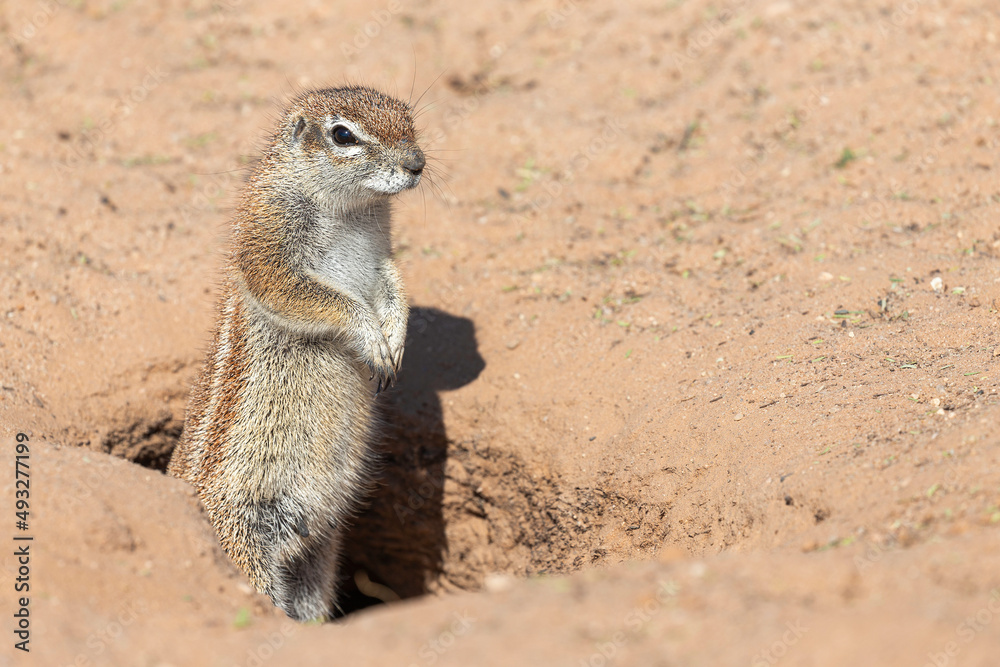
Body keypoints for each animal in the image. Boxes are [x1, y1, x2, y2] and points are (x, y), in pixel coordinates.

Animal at [168, 86, 425, 622]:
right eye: (343, 135)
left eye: (408, 118)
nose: (417, 163)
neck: (354, 211)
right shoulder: (269, 241)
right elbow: (307, 294)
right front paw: (371, 336)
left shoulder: (383, 256)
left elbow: (395, 285)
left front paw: (395, 340)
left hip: (316, 561)